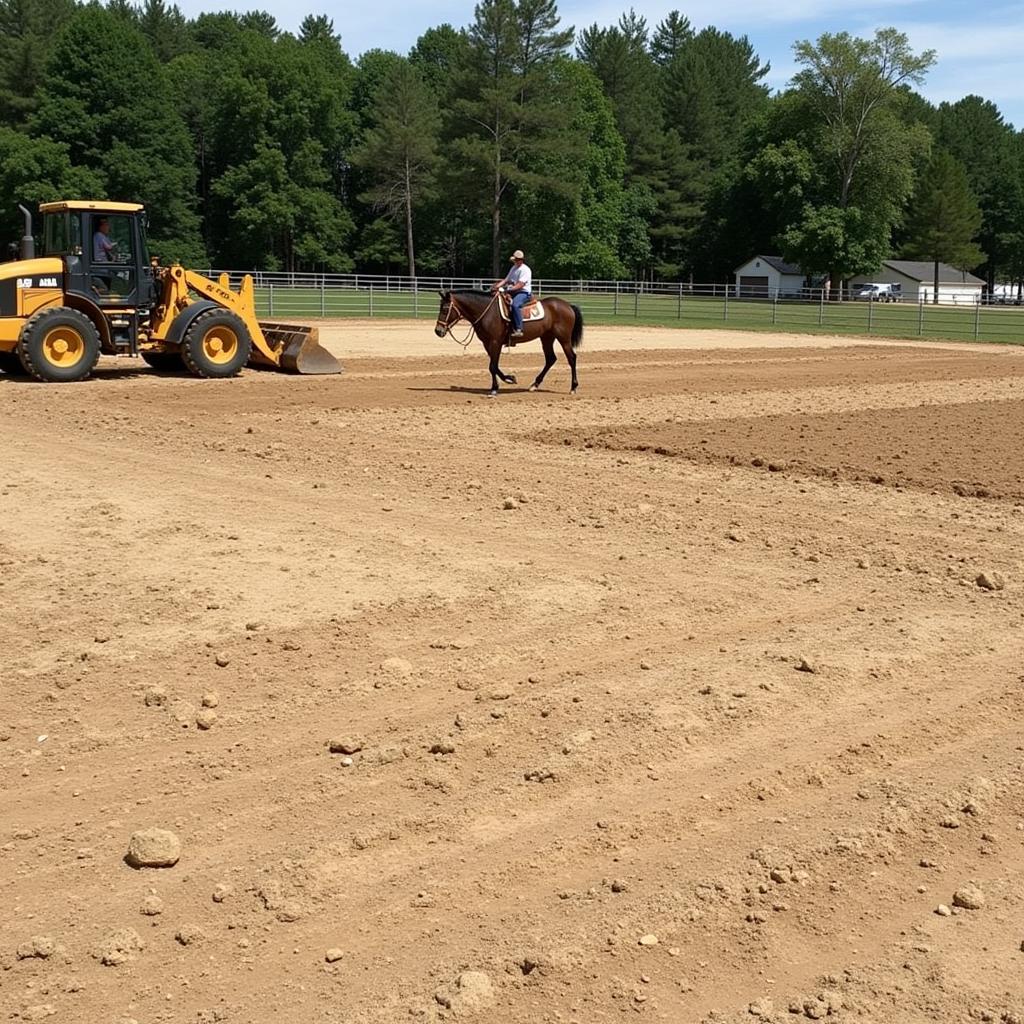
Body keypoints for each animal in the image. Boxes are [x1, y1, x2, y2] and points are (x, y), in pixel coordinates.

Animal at [432, 292, 585, 399]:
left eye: (445, 309)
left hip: (564, 339)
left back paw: (573, 387)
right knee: (550, 359)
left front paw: (494, 389)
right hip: (547, 338)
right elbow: (494, 366)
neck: (488, 312)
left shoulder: (495, 342)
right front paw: (510, 379)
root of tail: (568, 305)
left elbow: (492, 366)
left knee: (572, 358)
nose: (438, 331)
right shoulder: (487, 343)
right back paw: (534, 385)